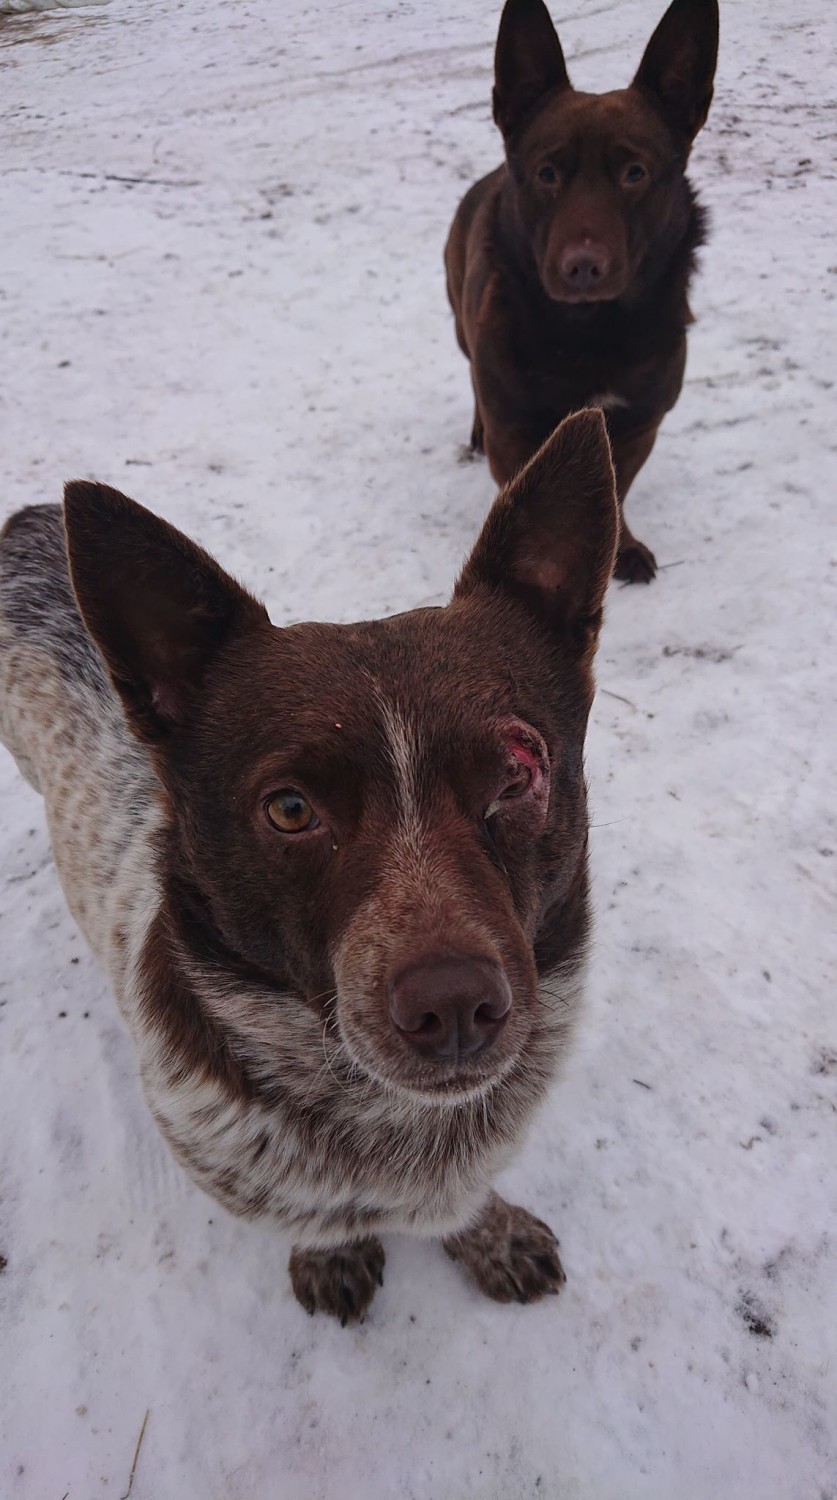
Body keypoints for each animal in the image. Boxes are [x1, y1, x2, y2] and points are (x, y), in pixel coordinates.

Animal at [447, 0, 723, 579]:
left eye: (635, 173)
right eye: (547, 173)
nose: (583, 267)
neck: (586, 331)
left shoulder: (639, 423)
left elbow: (613, 494)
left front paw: (623, 549)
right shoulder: (514, 430)